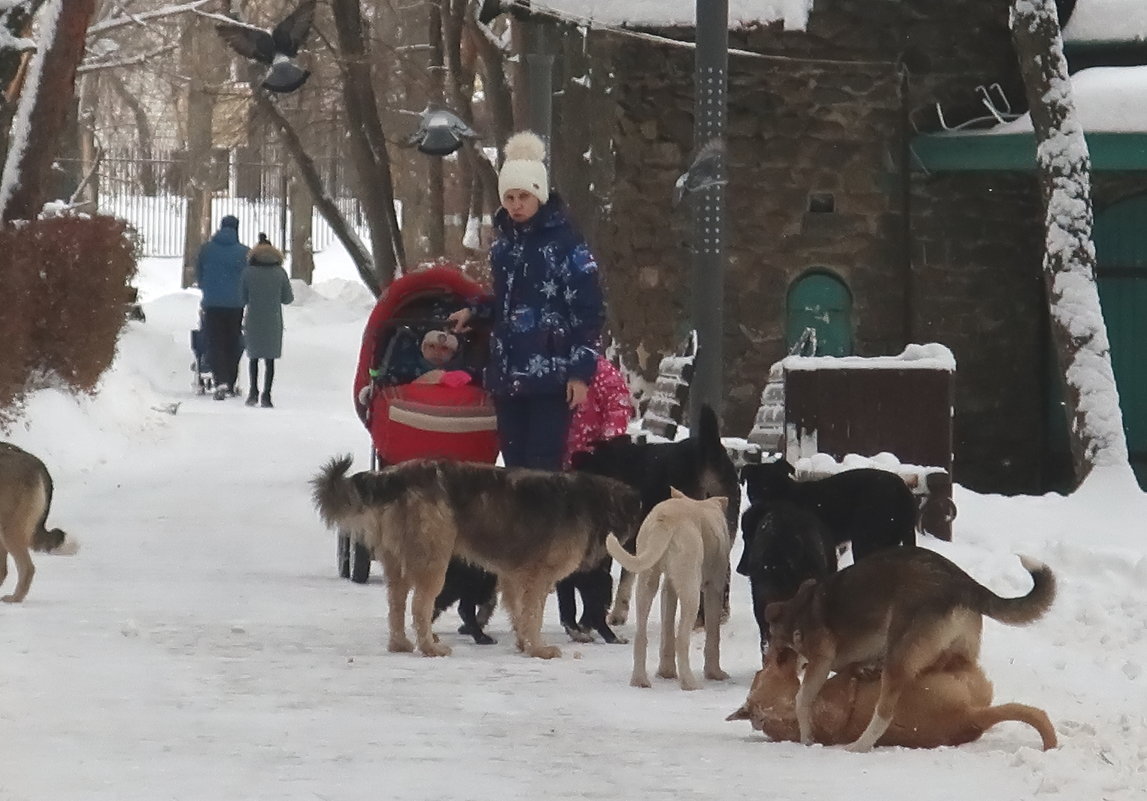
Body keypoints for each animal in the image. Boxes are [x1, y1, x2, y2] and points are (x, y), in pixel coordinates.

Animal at [309, 454, 642, 656]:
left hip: (399, 562)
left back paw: (401, 643)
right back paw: (430, 647)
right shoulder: (537, 577)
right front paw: (539, 649)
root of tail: (396, 475)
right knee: (420, 606)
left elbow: (519, 613)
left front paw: (524, 644)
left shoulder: (513, 575)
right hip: (434, 560)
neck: (593, 501)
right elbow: (532, 614)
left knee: (396, 606)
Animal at [605, 486, 729, 688]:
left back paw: (640, 681)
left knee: (641, 636)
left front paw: (666, 672)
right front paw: (715, 674)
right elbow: (713, 634)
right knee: (682, 638)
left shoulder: (668, 589)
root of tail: (666, 519)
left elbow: (667, 629)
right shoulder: (714, 588)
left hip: (646, 580)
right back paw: (690, 684)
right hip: (690, 589)